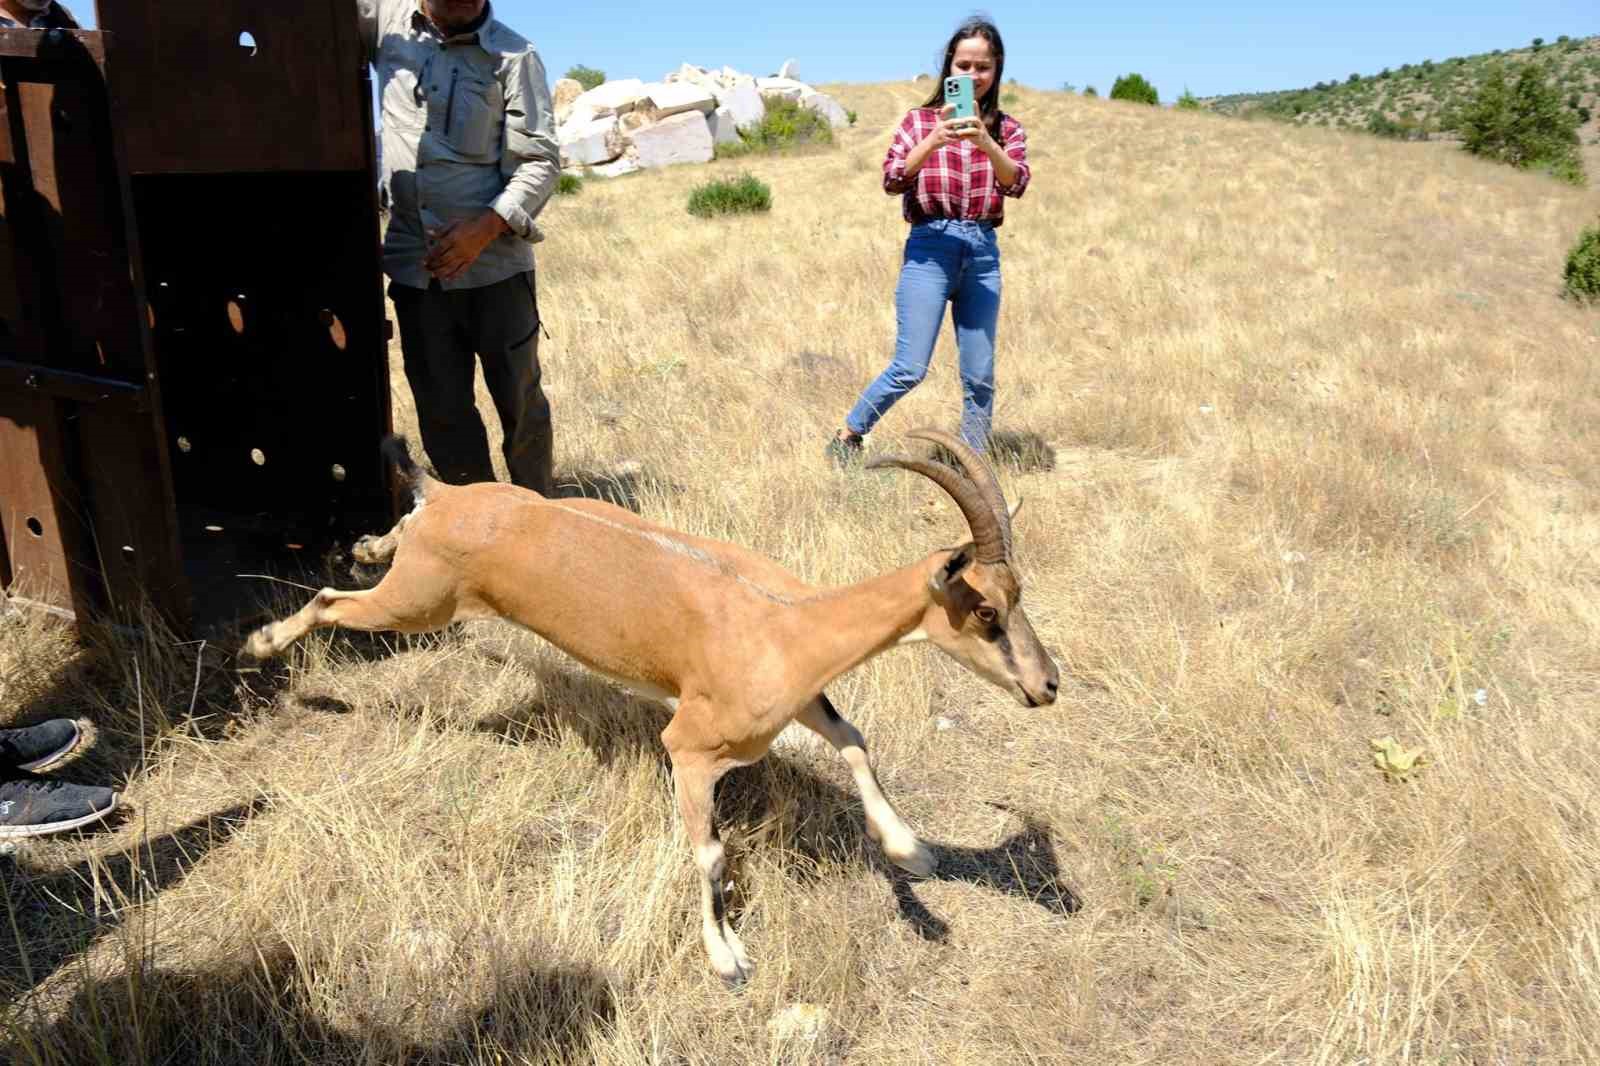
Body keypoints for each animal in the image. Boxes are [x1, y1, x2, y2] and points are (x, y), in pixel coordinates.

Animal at [243, 422, 1056, 979]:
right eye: (985, 609)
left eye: (1020, 593)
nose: (1046, 686)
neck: (787, 623)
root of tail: (448, 501)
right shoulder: (689, 748)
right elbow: (711, 851)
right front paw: (728, 959)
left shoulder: (799, 704)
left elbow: (854, 739)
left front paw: (914, 855)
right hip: (418, 605)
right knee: (329, 600)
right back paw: (262, 644)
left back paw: (364, 548)